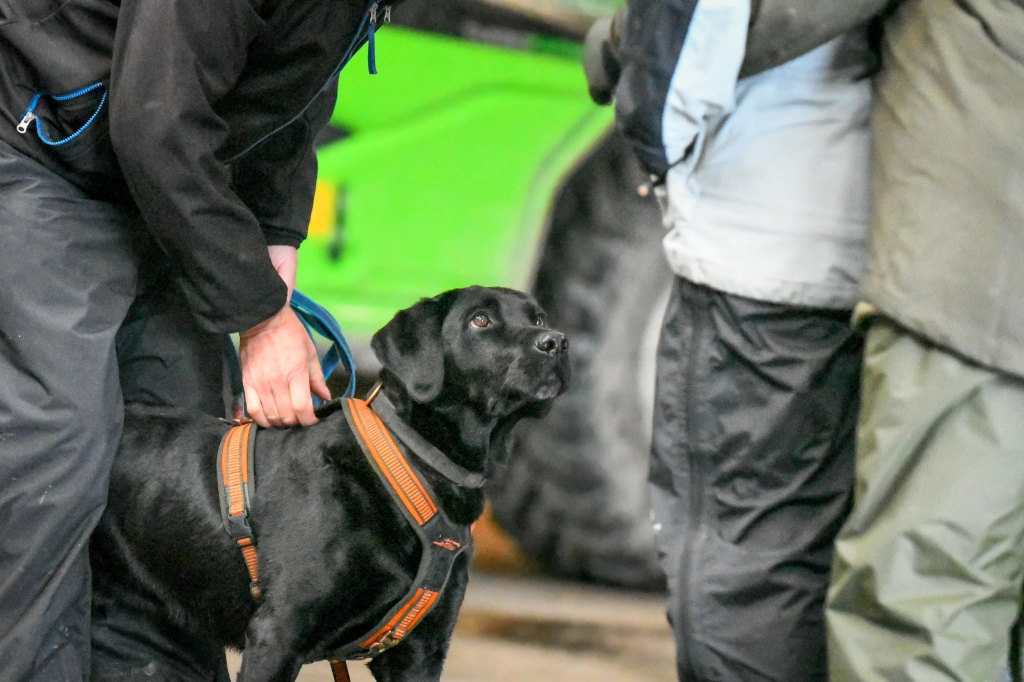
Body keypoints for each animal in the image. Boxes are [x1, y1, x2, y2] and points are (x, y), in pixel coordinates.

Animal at [90, 286, 569, 679]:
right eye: (480, 320)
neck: (412, 464)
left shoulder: (421, 651)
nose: (557, 342)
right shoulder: (278, 634)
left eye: (539, 317)